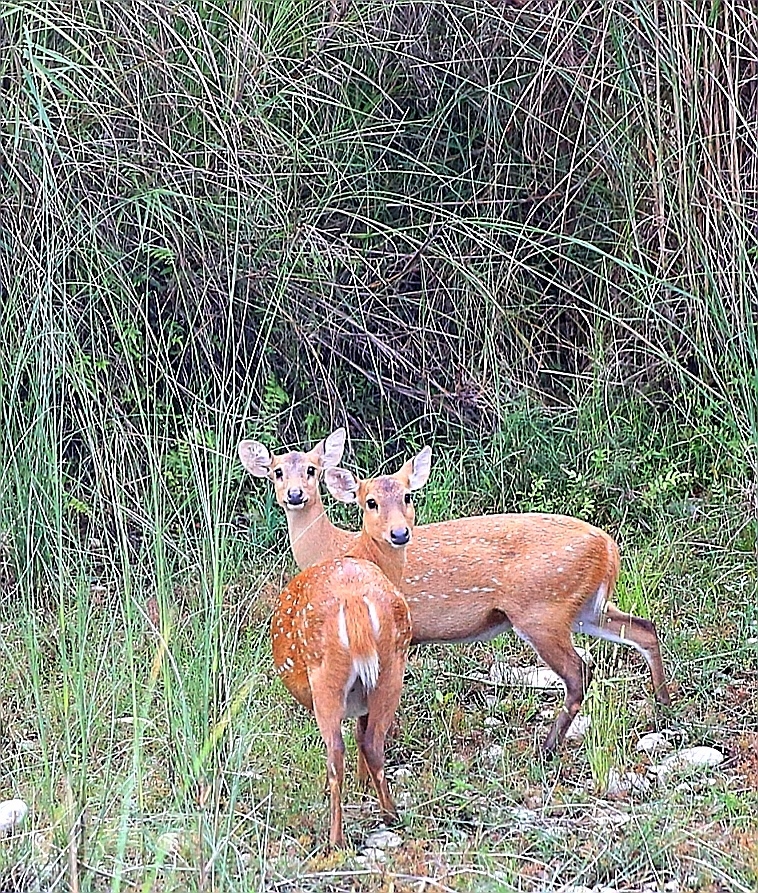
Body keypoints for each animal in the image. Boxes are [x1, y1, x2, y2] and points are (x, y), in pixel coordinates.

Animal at [242, 428, 672, 756]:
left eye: (311, 470)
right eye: (277, 472)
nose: (295, 494)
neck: (339, 548)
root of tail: (609, 548)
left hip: (541, 609)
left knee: (579, 671)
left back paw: (547, 747)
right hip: (585, 607)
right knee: (643, 629)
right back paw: (663, 709)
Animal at [270, 450, 430, 848]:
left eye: (407, 495)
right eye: (371, 501)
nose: (400, 533)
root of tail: (356, 603)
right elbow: (361, 732)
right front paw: (365, 785)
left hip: (326, 677)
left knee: (336, 754)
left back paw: (338, 837)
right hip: (391, 667)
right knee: (372, 741)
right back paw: (388, 814)